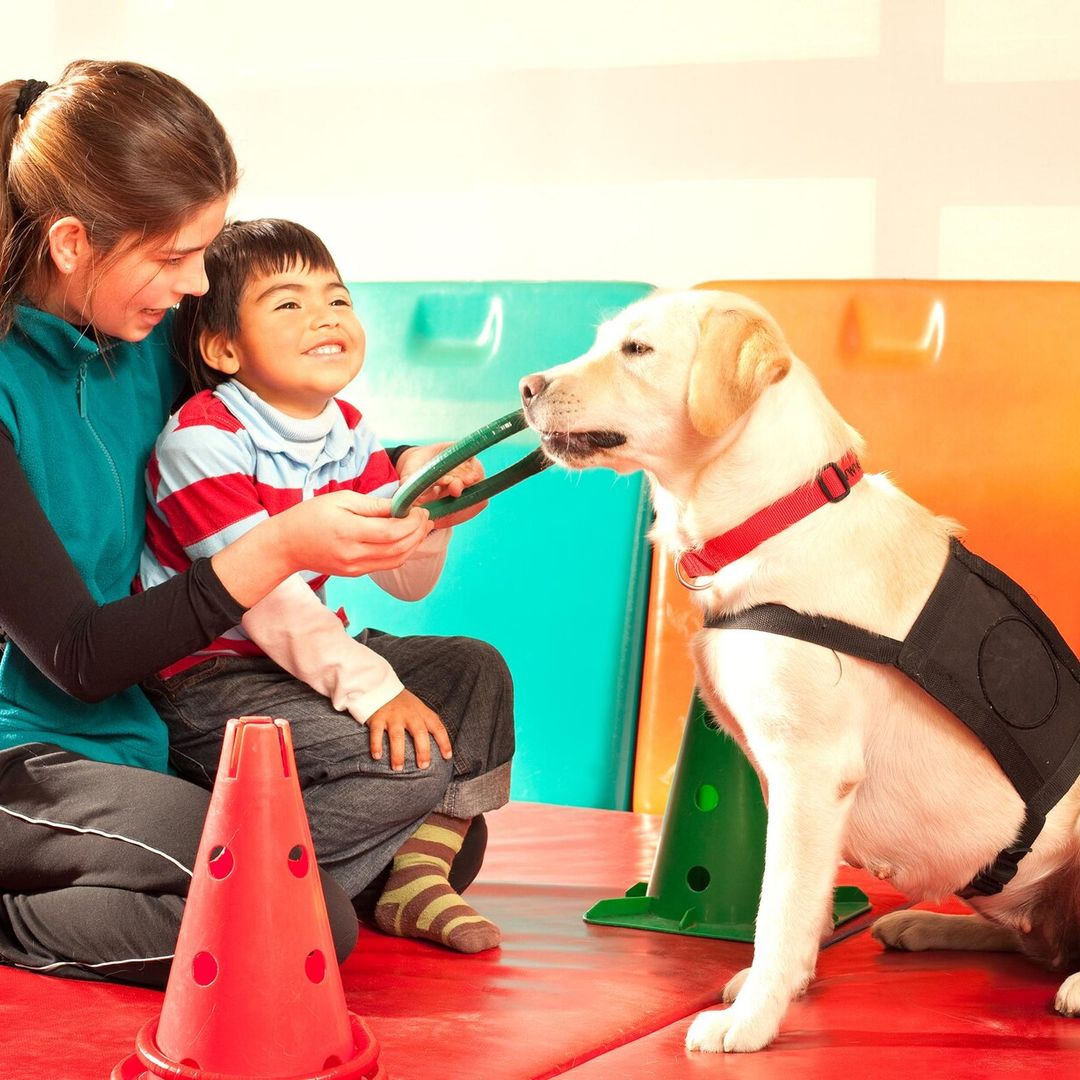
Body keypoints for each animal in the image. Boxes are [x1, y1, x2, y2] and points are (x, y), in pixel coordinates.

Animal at [518, 291, 1080, 1049]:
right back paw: (923, 924)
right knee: (1028, 943)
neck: (774, 517)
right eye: (600, 341)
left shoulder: (810, 771)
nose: (526, 387)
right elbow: (798, 903)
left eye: (636, 350)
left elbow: (778, 908)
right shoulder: (777, 777)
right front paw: (782, 986)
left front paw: (753, 1018)